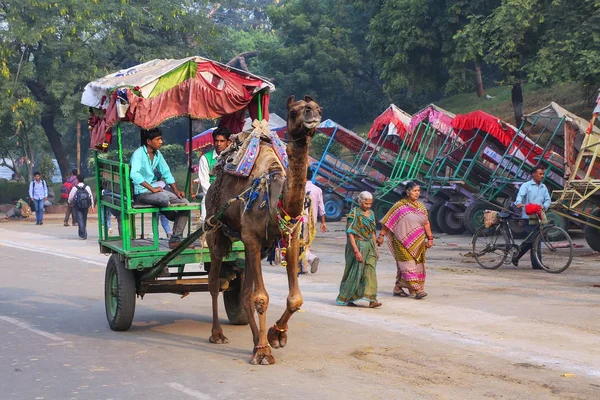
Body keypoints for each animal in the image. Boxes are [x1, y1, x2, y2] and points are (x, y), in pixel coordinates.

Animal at [204, 95, 322, 364]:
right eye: (293, 112)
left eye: (318, 108)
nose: (312, 113)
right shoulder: (252, 238)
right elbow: (261, 297)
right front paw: (264, 351)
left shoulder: (289, 238)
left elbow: (294, 298)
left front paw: (274, 336)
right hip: (216, 231)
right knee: (214, 281)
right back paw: (218, 334)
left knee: (245, 291)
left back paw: (256, 340)